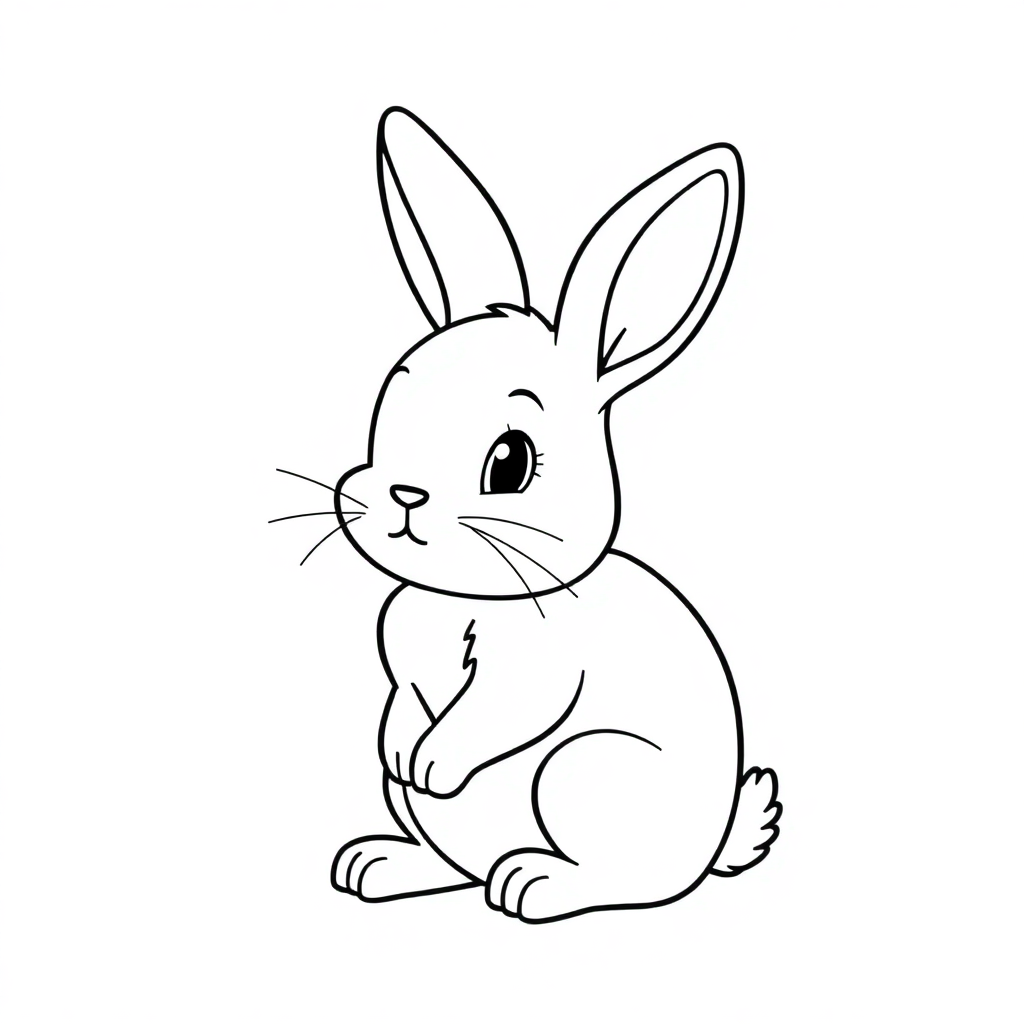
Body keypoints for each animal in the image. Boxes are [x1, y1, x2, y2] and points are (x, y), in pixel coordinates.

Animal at [313, 107, 781, 923]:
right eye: (389, 411)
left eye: (511, 462)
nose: (405, 498)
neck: (468, 593)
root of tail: (713, 843)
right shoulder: (402, 660)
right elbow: (404, 698)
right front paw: (401, 751)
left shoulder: (539, 669)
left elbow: (499, 712)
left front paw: (432, 762)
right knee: (451, 864)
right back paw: (379, 865)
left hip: (581, 771)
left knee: (636, 883)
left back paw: (533, 883)